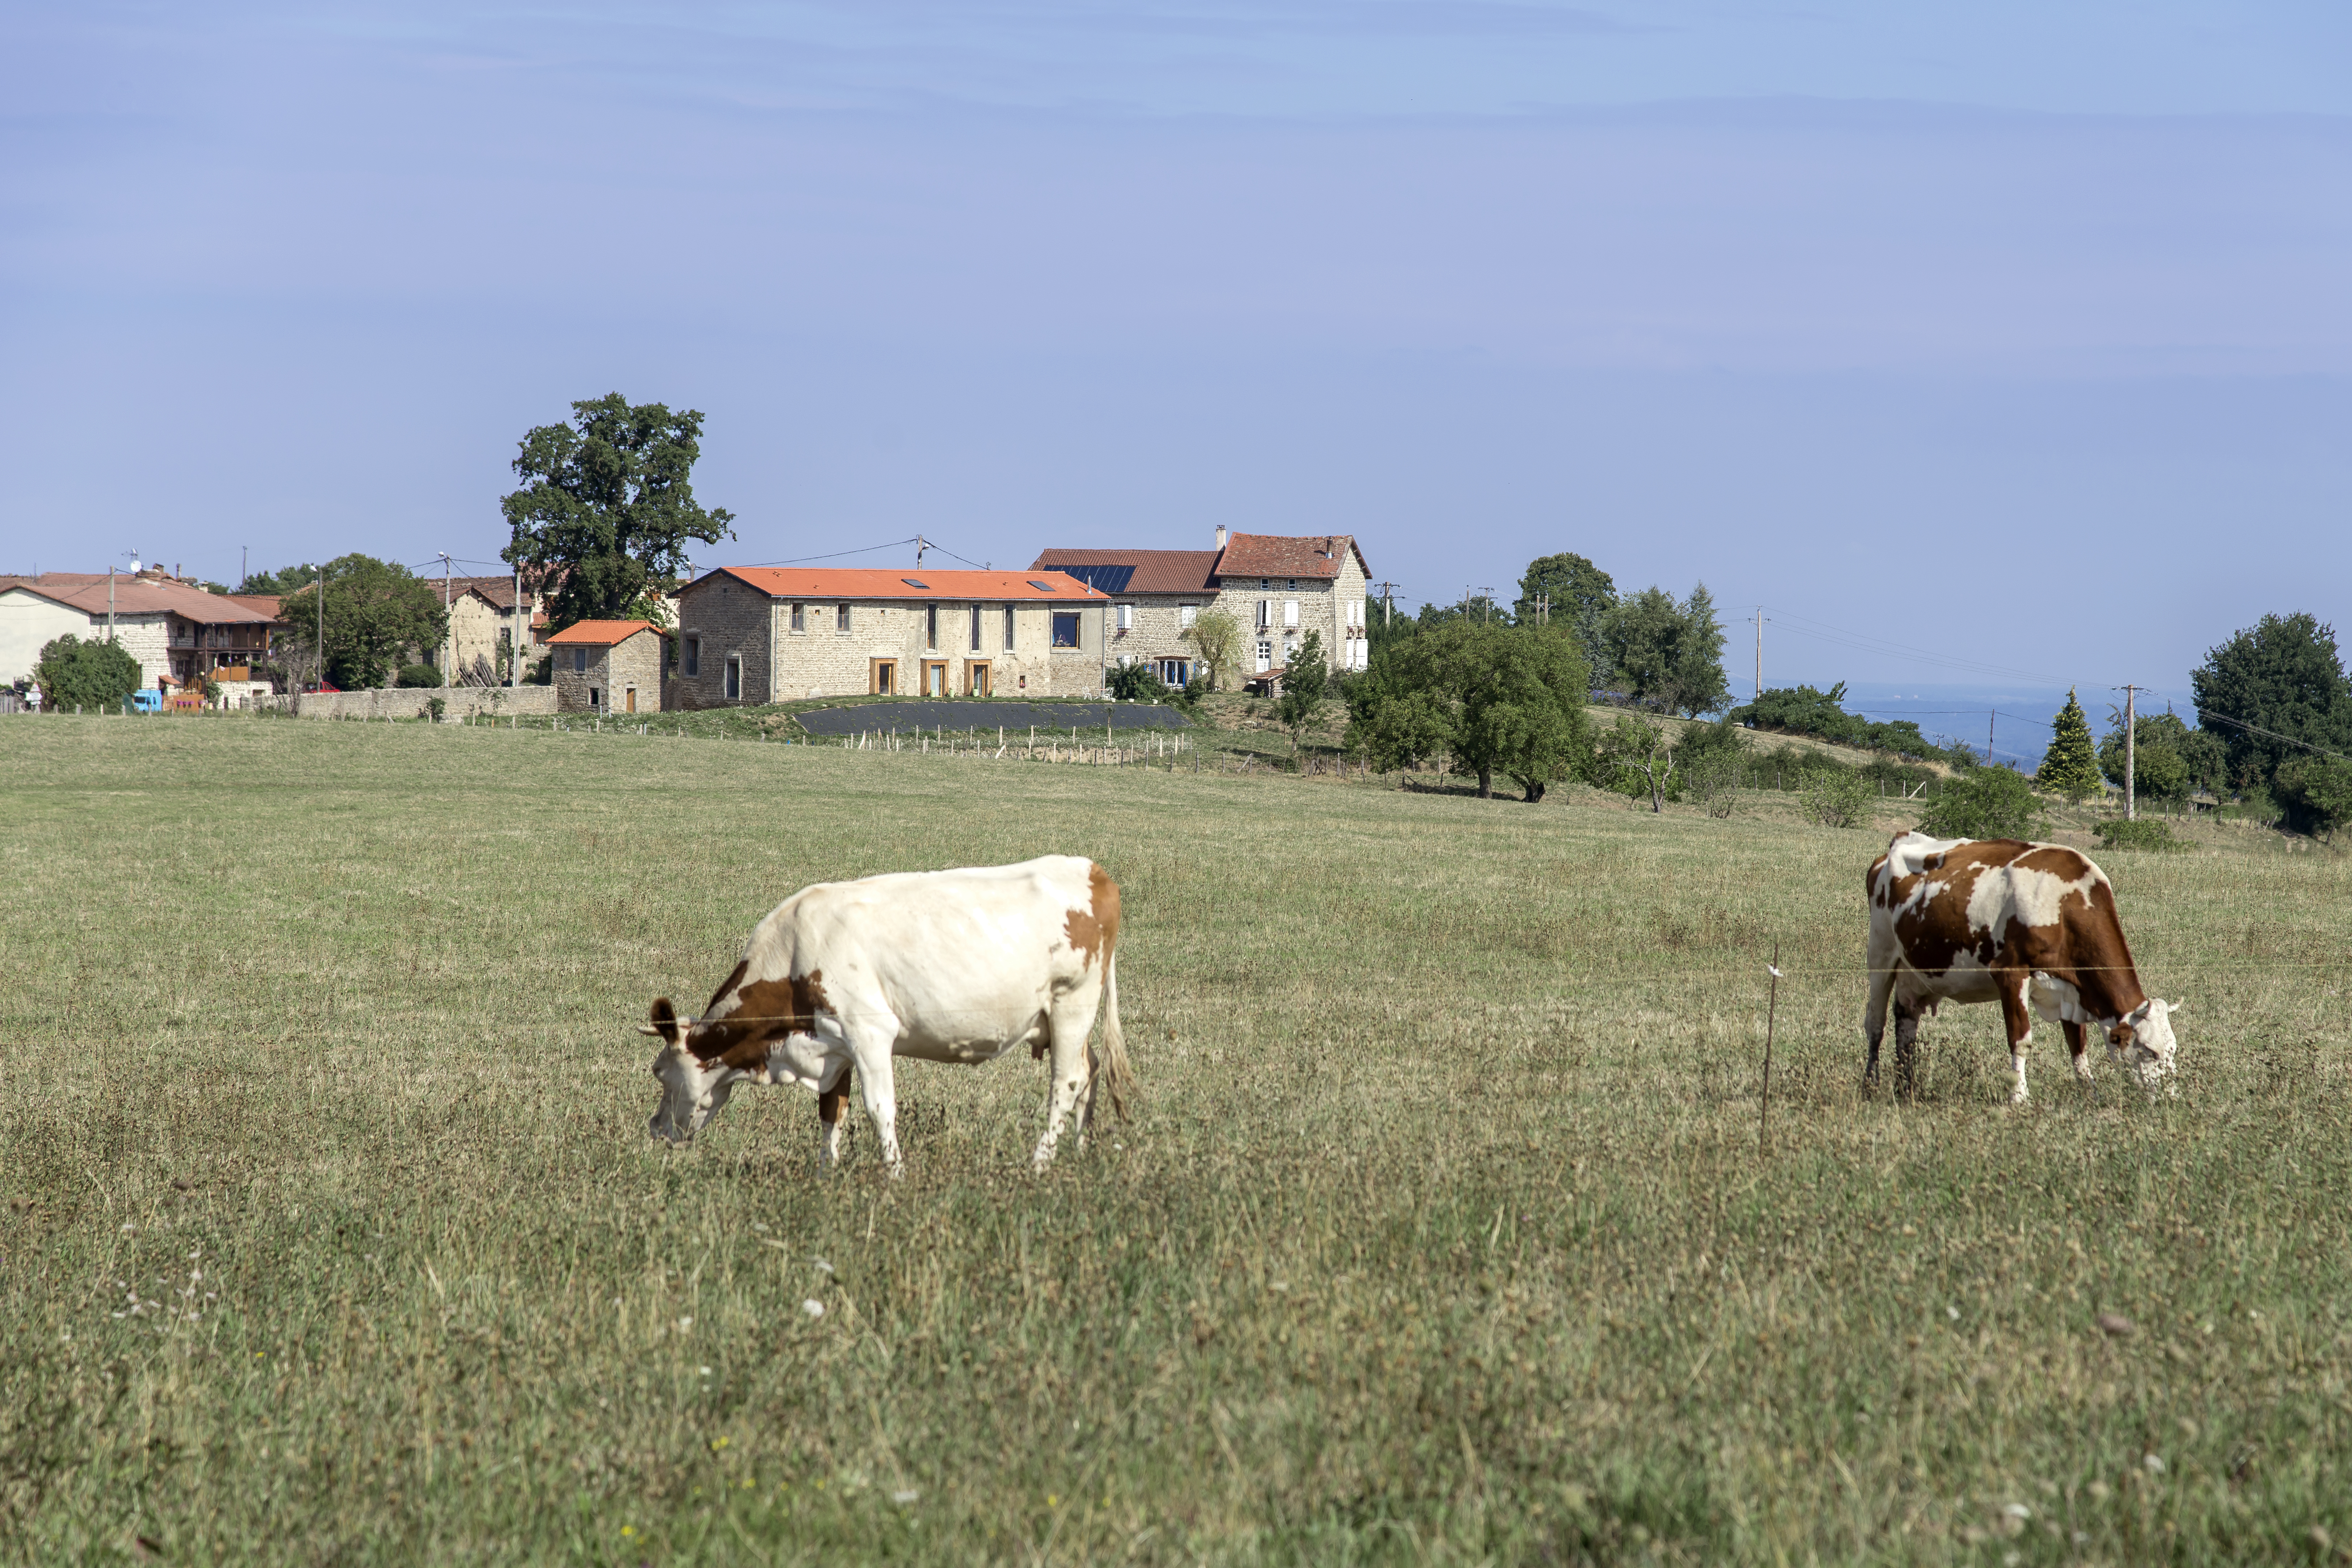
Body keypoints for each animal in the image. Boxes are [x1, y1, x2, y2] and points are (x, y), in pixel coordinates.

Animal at [635, 851, 1129, 1171]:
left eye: (661, 1074)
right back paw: (1079, 1154)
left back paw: (1039, 1166)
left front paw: (894, 1175)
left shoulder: (869, 1033)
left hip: (1073, 1004)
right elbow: (830, 1111)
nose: (655, 1129)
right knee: (1089, 1071)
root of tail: (1092, 870)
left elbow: (879, 1108)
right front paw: (826, 1177)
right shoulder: (833, 1046)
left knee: (1066, 1082)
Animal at [1863, 832, 2173, 1105]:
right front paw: (2019, 1097)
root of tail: (1898, 842)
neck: (2063, 904)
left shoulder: (2072, 988)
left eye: (2173, 1049)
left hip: (1914, 973)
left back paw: (1907, 1089)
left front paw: (2090, 1095)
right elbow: (2021, 1041)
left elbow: (2078, 1045)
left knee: (1906, 1024)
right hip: (1880, 957)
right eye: (2150, 1052)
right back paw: (1871, 1086)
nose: (2171, 1099)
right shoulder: (2011, 974)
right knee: (1876, 1025)